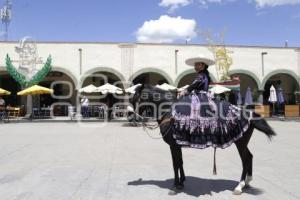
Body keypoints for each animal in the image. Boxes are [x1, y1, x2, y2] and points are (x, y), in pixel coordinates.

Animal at [130, 84, 276, 195]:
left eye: (136, 97)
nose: (130, 116)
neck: (168, 110)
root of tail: (248, 113)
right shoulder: (178, 144)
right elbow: (180, 162)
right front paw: (181, 182)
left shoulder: (173, 145)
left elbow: (175, 164)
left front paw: (175, 186)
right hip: (243, 142)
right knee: (250, 157)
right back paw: (247, 182)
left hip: (240, 142)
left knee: (245, 159)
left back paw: (239, 186)